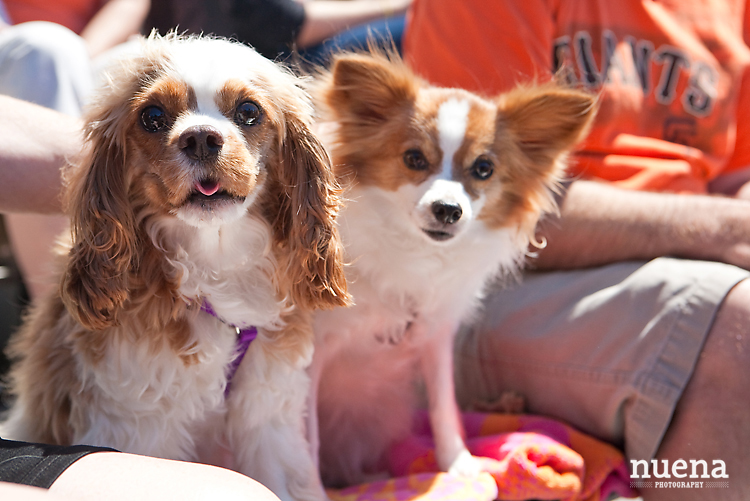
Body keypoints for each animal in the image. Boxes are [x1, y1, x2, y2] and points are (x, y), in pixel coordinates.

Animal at [1, 33, 350, 498]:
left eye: (249, 111)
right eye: (152, 116)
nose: (201, 138)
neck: (215, 258)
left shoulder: (265, 414)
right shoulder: (138, 423)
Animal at [308, 52, 596, 486]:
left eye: (483, 169)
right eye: (414, 158)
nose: (447, 209)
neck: (412, 253)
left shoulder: (435, 335)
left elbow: (444, 405)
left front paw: (457, 462)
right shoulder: (308, 355)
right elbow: (299, 435)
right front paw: (306, 485)